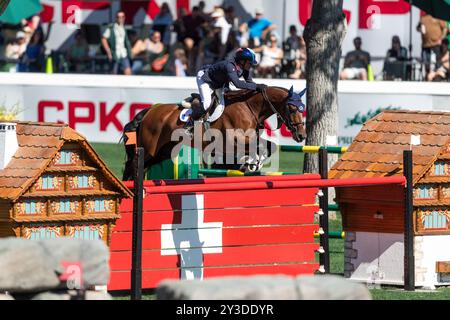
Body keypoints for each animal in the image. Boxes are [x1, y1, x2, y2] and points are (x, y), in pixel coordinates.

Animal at [122, 85, 306, 180]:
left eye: (302, 109)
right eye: (291, 108)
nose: (301, 135)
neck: (249, 107)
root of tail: (150, 111)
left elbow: (269, 146)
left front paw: (251, 163)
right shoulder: (232, 142)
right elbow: (261, 147)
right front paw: (252, 163)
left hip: (162, 153)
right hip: (150, 149)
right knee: (132, 165)